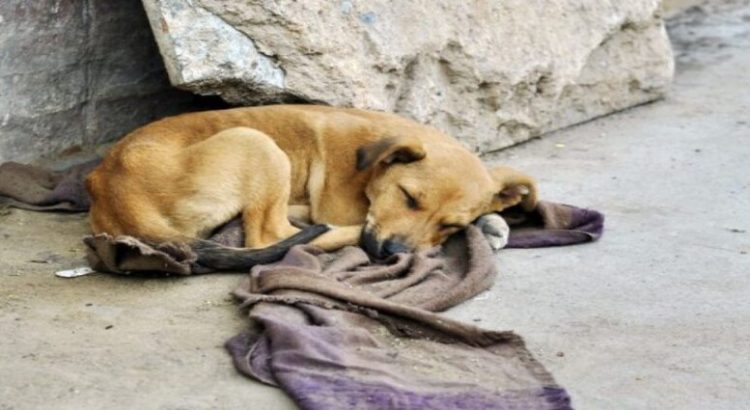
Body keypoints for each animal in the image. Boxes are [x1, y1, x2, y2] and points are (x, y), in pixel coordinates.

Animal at [85, 104, 536, 268]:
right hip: (256, 143)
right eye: (408, 197)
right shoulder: (345, 207)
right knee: (268, 236)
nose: (392, 254)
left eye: (450, 225)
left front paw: (491, 221)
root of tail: (111, 186)